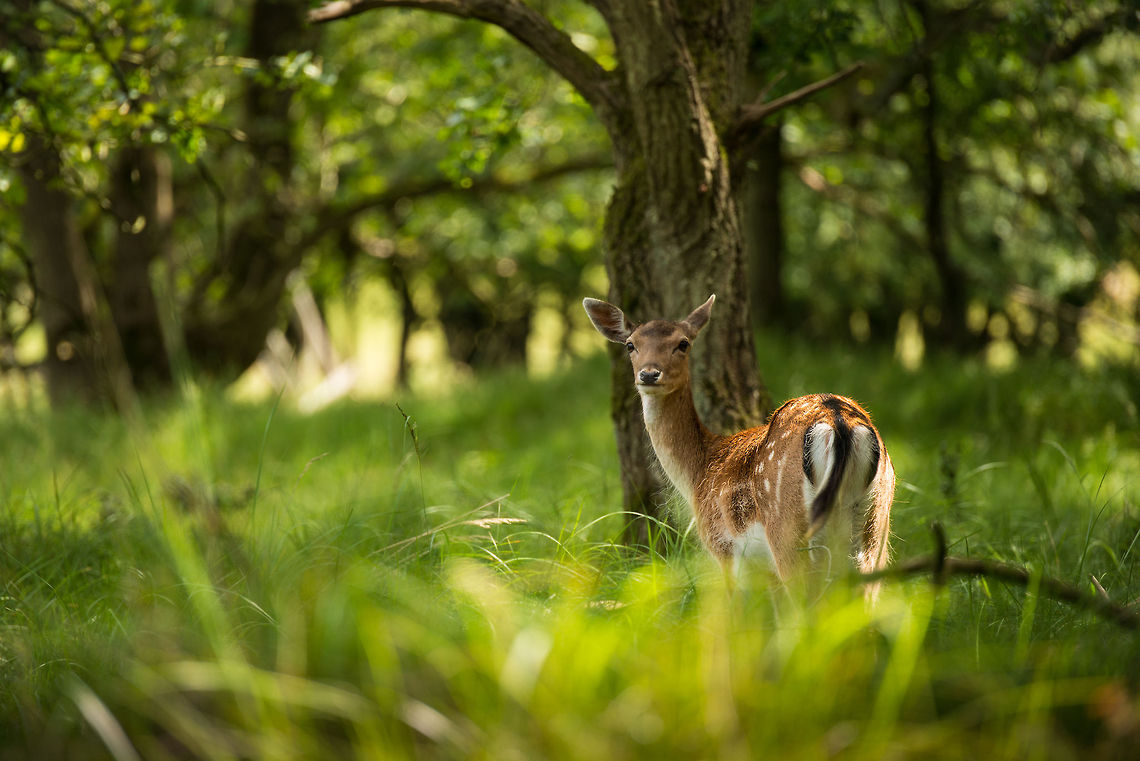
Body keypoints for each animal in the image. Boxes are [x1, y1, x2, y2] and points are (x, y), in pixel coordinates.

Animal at [583, 294, 894, 596]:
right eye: (630, 345)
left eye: (682, 344)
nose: (649, 374)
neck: (698, 471)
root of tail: (838, 423)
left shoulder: (723, 545)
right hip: (877, 527)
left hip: (788, 530)